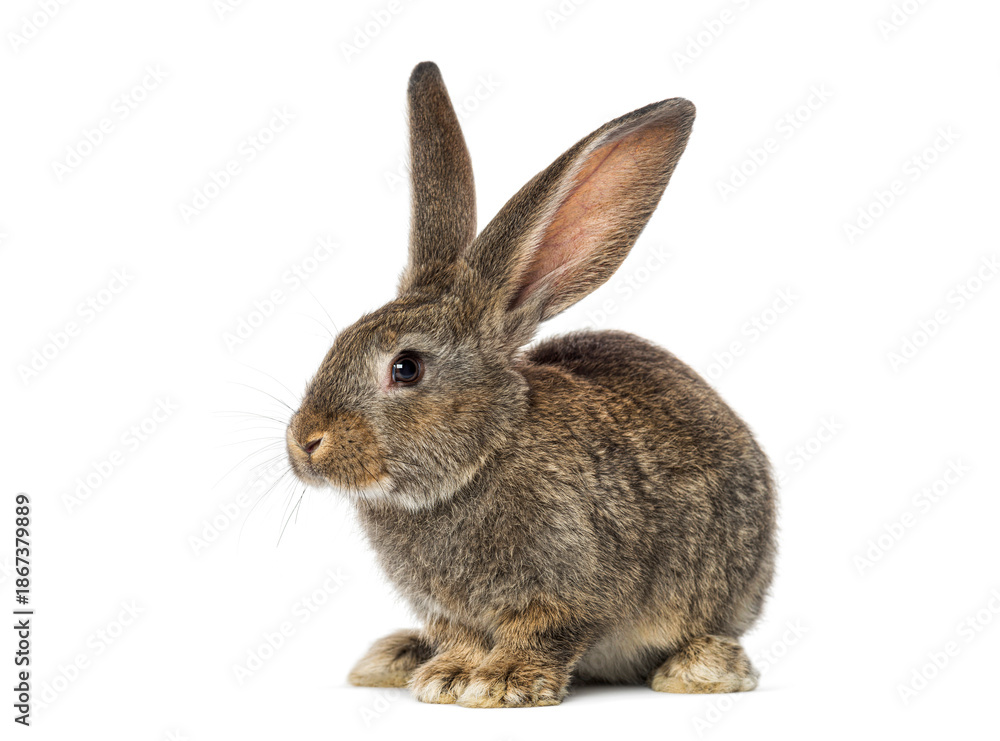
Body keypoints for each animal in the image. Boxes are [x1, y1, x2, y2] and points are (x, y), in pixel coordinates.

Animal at [285, 61, 777, 708]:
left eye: (406, 368)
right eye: (340, 340)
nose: (304, 443)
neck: (481, 459)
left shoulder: (570, 584)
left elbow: (543, 632)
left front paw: (501, 684)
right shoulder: (450, 611)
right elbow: (462, 637)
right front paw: (446, 676)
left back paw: (700, 670)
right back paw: (395, 657)